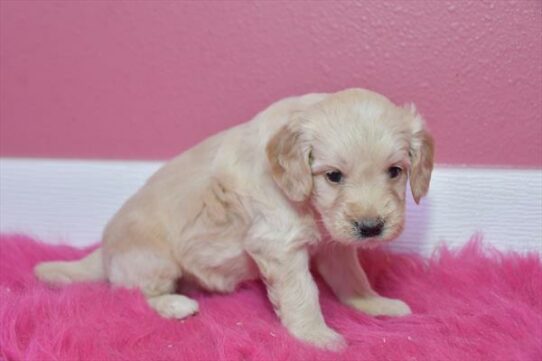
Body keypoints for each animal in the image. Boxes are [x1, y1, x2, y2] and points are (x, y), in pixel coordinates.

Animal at [35, 88, 434, 350]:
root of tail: (104, 252)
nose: (371, 228)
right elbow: (302, 292)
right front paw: (316, 336)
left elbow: (352, 277)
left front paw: (374, 304)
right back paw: (175, 304)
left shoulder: (334, 243)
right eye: (333, 176)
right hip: (154, 260)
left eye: (395, 171)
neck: (306, 201)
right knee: (132, 293)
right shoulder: (277, 245)